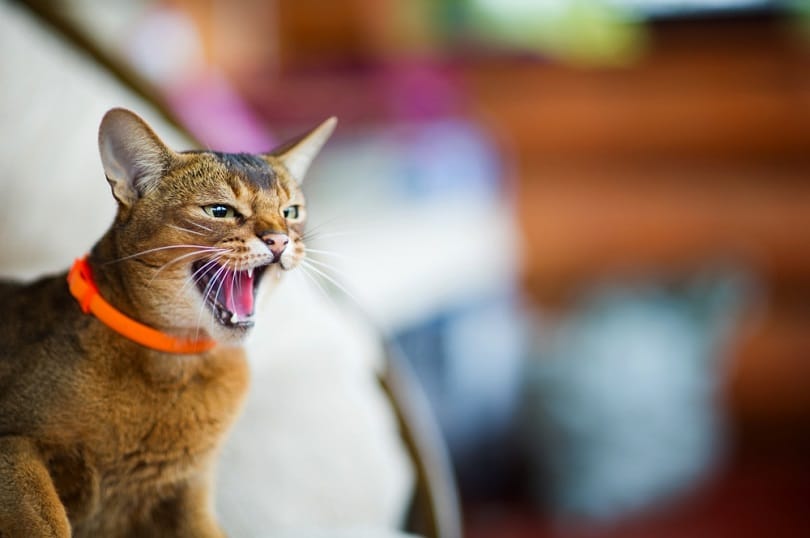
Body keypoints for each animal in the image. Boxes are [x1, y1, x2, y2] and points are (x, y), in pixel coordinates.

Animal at [0, 107, 336, 532]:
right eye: (219, 211)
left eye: (290, 212)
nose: (279, 240)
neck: (179, 358)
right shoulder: (12, 445)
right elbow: (44, 522)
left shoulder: (189, 488)